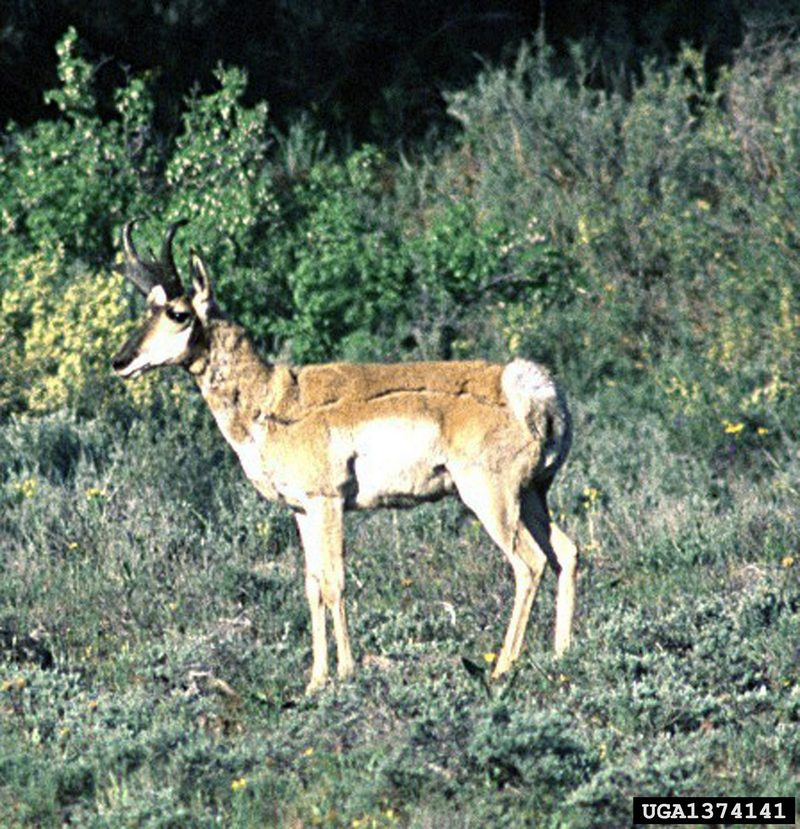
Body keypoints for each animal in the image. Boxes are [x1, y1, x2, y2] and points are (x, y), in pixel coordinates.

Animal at [111, 218, 576, 692]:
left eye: (178, 313)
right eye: (148, 307)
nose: (120, 360)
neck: (273, 399)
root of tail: (528, 387)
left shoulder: (328, 502)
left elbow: (335, 583)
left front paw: (347, 672)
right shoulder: (302, 511)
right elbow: (312, 586)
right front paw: (316, 681)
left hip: (491, 500)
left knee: (529, 564)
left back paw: (503, 666)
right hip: (532, 497)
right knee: (566, 552)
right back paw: (562, 654)